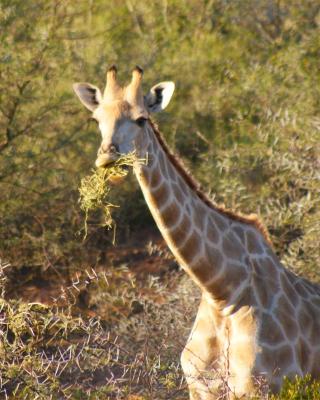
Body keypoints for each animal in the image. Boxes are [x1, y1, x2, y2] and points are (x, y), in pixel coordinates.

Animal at [74, 66, 320, 400]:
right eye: (96, 119)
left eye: (142, 119)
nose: (107, 157)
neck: (223, 291)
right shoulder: (201, 387)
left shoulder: (268, 388)